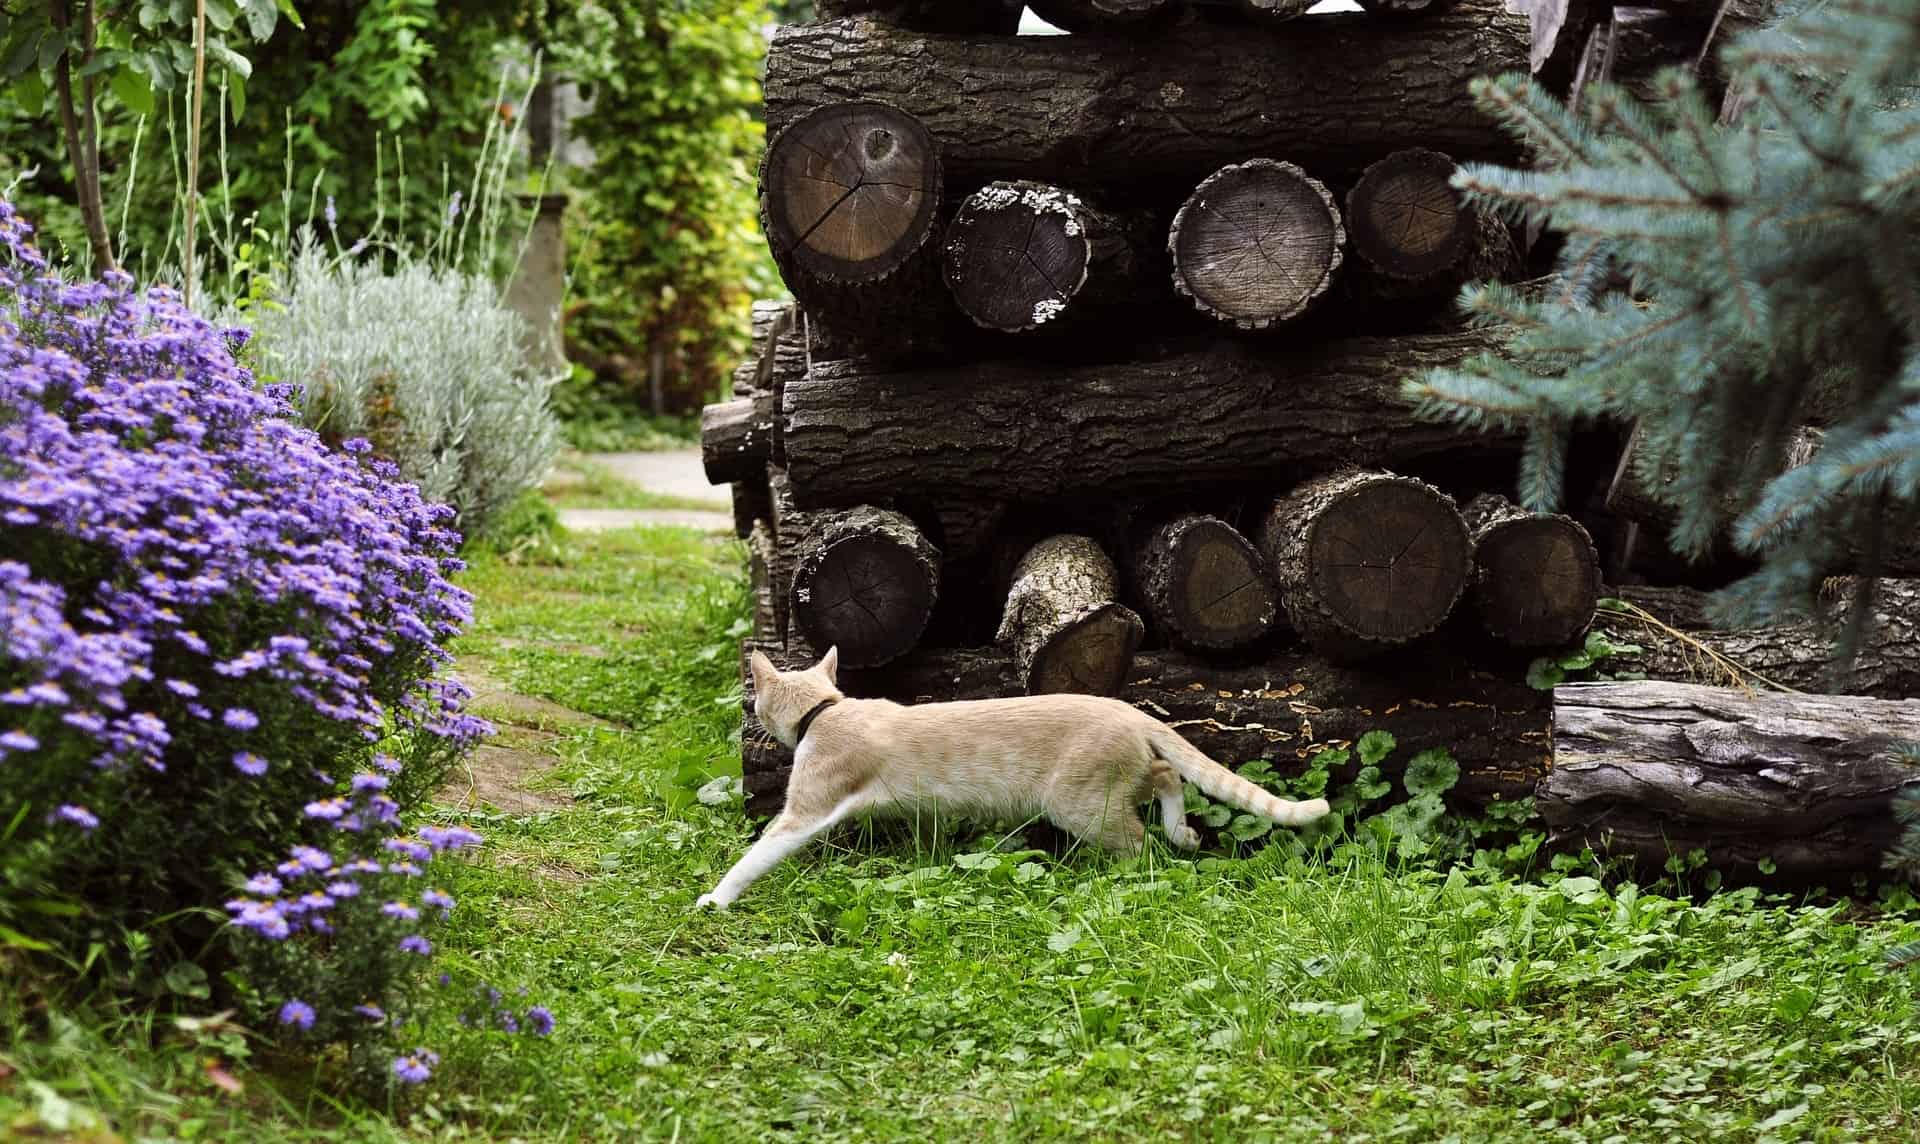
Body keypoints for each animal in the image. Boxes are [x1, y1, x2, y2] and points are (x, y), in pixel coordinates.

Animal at [695, 648, 1336, 905]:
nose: (752, 719)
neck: (826, 710)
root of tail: (1128, 709)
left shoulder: (804, 809)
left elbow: (757, 853)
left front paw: (715, 899)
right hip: (1115, 783)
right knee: (1162, 773)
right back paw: (1184, 833)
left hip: (1082, 806)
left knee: (1137, 840)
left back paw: (1140, 867)